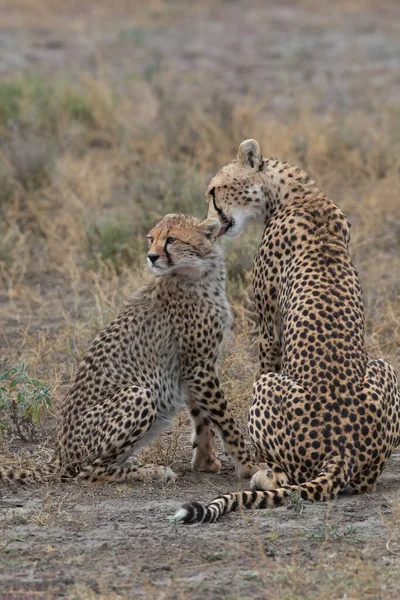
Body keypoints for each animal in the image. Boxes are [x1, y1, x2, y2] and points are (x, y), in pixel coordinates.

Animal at [0, 213, 256, 486]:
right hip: (138, 394)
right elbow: (225, 419)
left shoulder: (192, 367)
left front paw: (205, 461)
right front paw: (249, 465)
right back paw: (151, 471)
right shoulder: (199, 366)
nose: (151, 256)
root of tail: (59, 455)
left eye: (172, 239)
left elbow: (202, 417)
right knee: (90, 472)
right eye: (151, 239)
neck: (198, 272)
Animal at [173, 138, 400, 524]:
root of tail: (342, 450)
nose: (209, 222)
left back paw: (264, 474)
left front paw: (251, 460)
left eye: (214, 191)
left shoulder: (268, 329)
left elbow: (266, 358)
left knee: (286, 476)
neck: (296, 193)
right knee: (364, 483)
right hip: (385, 367)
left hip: (268, 389)